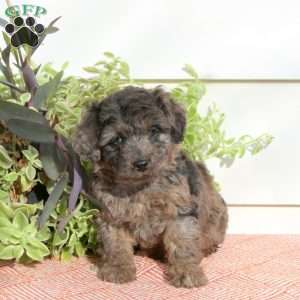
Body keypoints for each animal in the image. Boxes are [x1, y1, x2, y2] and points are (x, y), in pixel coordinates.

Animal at [72, 86, 227, 288]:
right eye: (117, 140)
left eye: (154, 130)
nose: (141, 163)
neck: (141, 185)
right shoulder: (111, 214)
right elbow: (115, 243)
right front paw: (117, 269)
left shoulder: (179, 211)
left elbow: (183, 243)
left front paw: (187, 272)